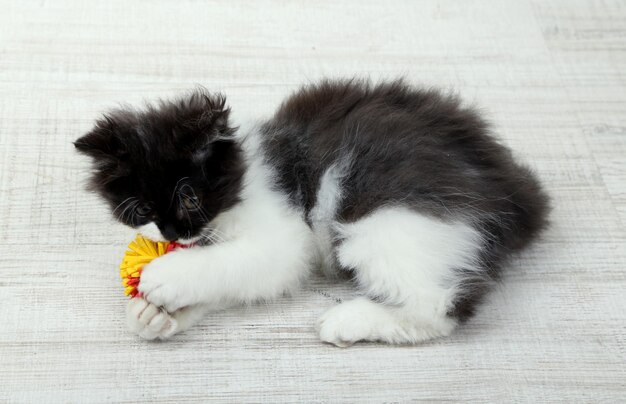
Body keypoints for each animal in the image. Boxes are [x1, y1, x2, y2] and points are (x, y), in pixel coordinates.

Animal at [75, 79, 548, 348]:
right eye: (142, 210)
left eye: (190, 199)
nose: (174, 233)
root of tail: (511, 191)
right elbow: (234, 281)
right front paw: (154, 316)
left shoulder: (285, 236)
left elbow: (230, 263)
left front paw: (166, 277)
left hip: (386, 223)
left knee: (436, 309)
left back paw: (347, 321)